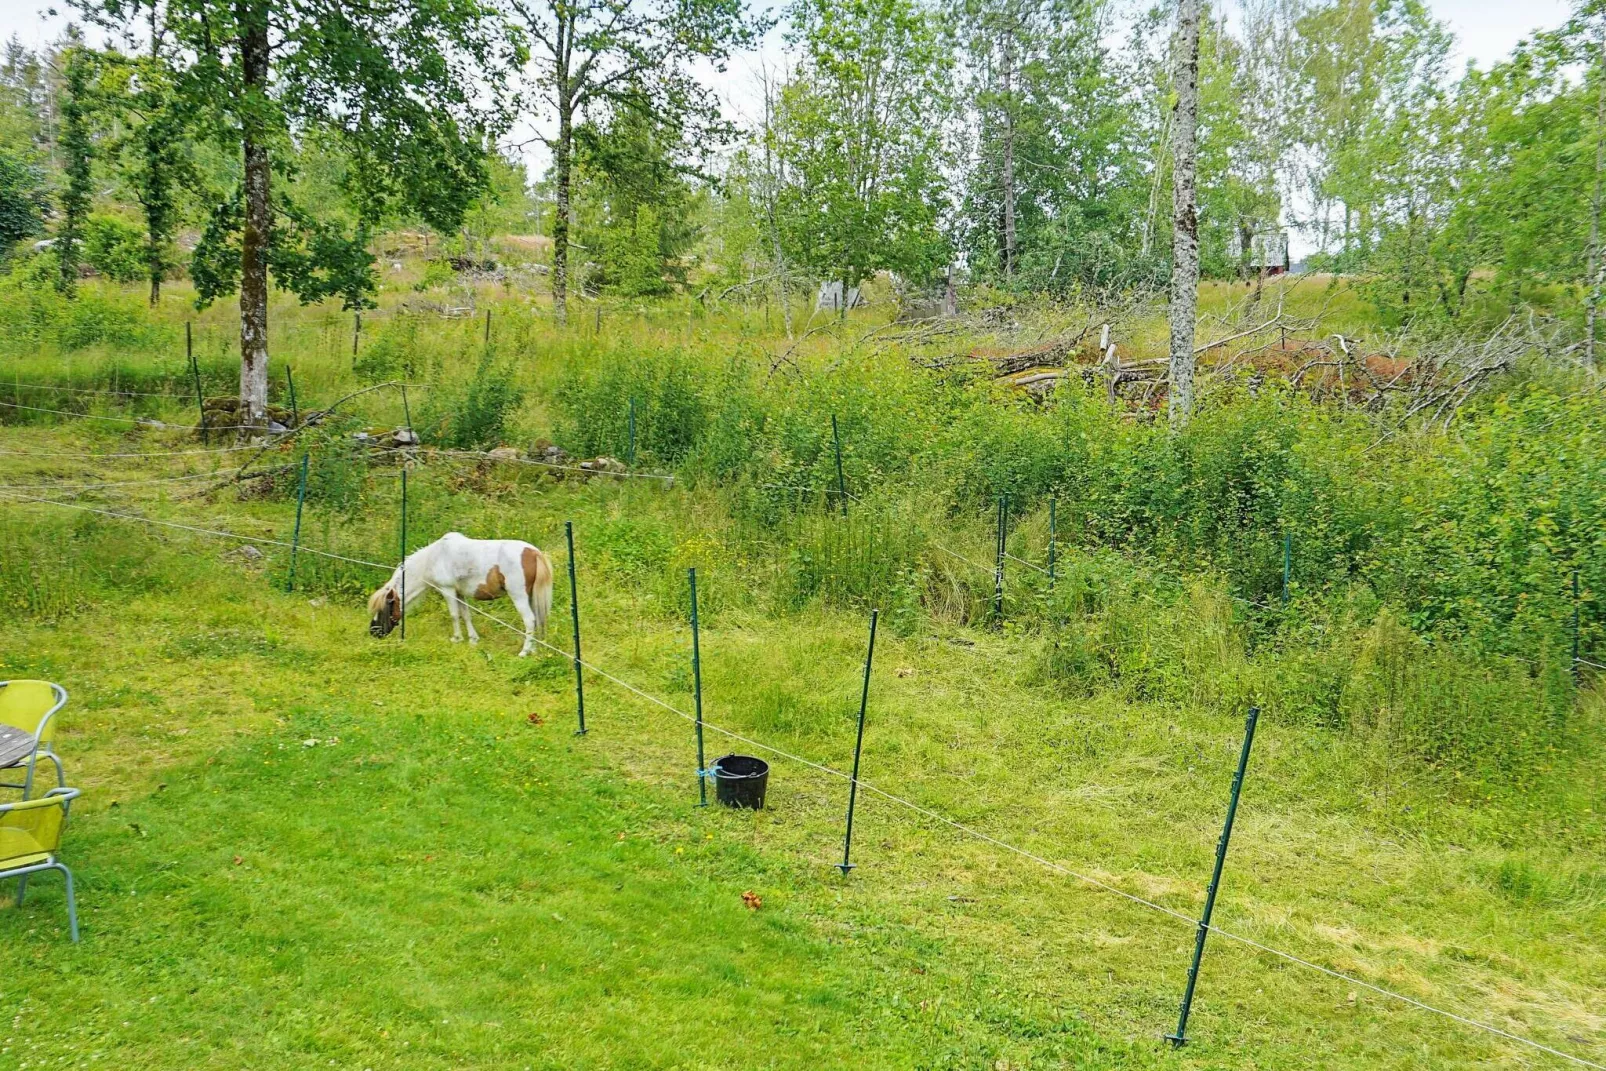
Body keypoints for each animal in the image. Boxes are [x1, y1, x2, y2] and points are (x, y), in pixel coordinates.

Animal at [369, 533, 552, 655]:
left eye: (382, 609)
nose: (373, 632)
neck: (435, 557)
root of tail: (534, 552)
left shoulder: (448, 590)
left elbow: (454, 615)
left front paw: (456, 639)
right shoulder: (459, 593)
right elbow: (466, 615)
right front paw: (473, 640)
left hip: (519, 596)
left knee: (529, 620)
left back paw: (524, 651)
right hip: (530, 597)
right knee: (537, 619)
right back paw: (533, 650)